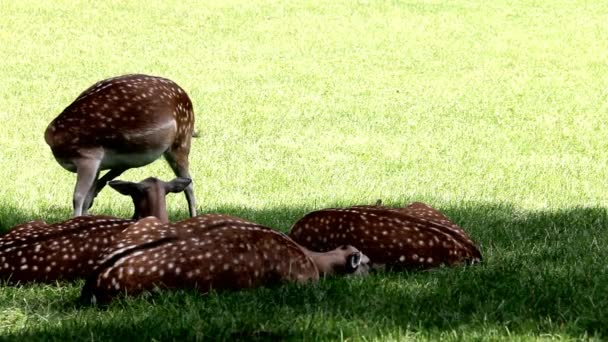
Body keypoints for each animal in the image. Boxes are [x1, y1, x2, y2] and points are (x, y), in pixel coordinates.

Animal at [45, 75, 197, 219]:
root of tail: (187, 99)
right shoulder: (98, 164)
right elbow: (87, 198)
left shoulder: (88, 156)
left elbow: (78, 197)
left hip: (181, 141)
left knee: (189, 185)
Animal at [78, 214, 368, 304]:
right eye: (365, 263)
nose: (374, 269)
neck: (313, 259)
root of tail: (91, 283)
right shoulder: (300, 279)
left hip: (145, 222)